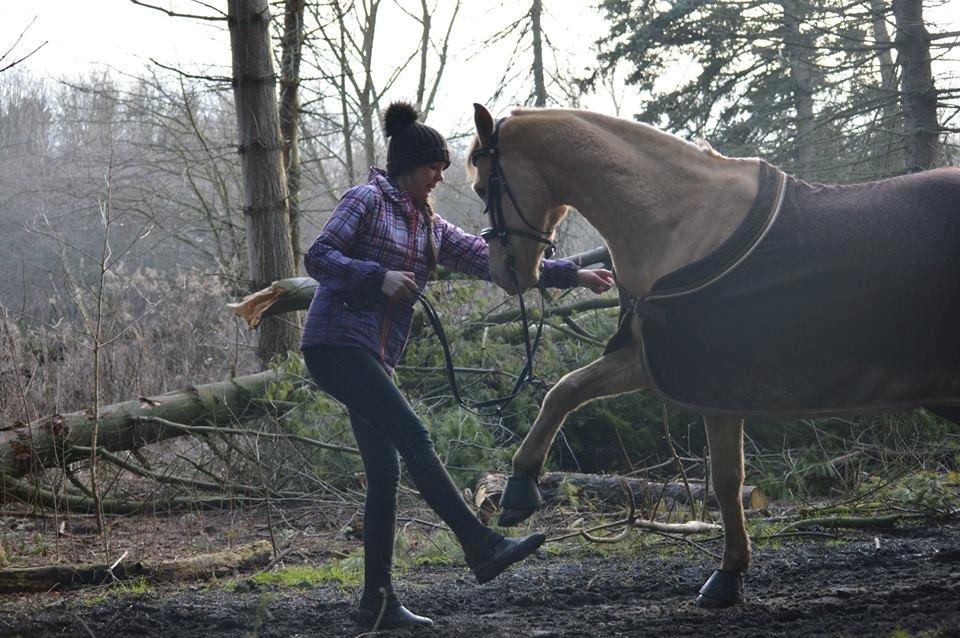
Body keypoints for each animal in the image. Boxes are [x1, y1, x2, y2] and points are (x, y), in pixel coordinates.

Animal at [468, 102, 960, 608]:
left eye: (482, 185)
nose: (503, 273)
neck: (678, 221)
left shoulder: (711, 380)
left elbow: (725, 482)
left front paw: (727, 575)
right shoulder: (652, 361)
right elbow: (565, 391)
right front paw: (520, 488)